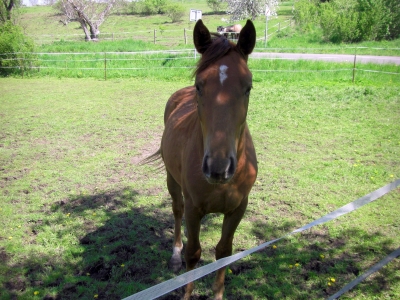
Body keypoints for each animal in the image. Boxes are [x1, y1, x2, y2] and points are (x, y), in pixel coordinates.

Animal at [147, 19, 256, 298]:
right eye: (199, 85)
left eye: (248, 87)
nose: (218, 168)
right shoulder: (194, 209)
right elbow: (194, 254)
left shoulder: (238, 208)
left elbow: (224, 252)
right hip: (172, 182)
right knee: (176, 211)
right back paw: (174, 255)